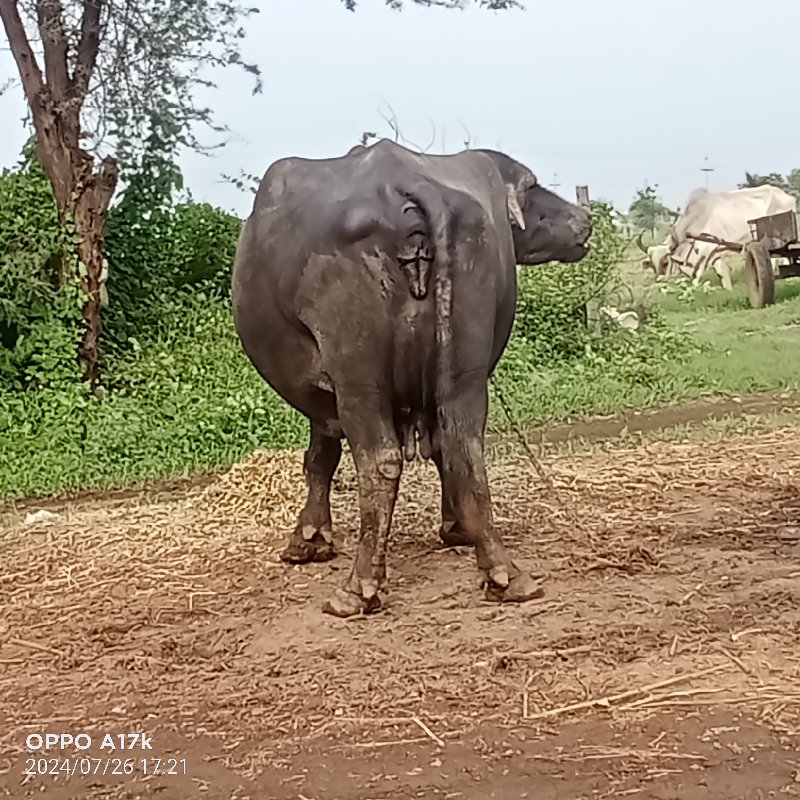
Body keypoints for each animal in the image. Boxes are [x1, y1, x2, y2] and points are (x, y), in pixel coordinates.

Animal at [231, 141, 588, 620]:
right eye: (532, 188)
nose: (584, 218)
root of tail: (404, 180)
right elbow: (436, 449)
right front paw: (456, 527)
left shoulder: (325, 396)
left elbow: (320, 458)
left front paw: (309, 540)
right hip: (465, 370)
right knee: (463, 449)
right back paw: (505, 574)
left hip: (358, 375)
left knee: (379, 461)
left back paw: (357, 589)